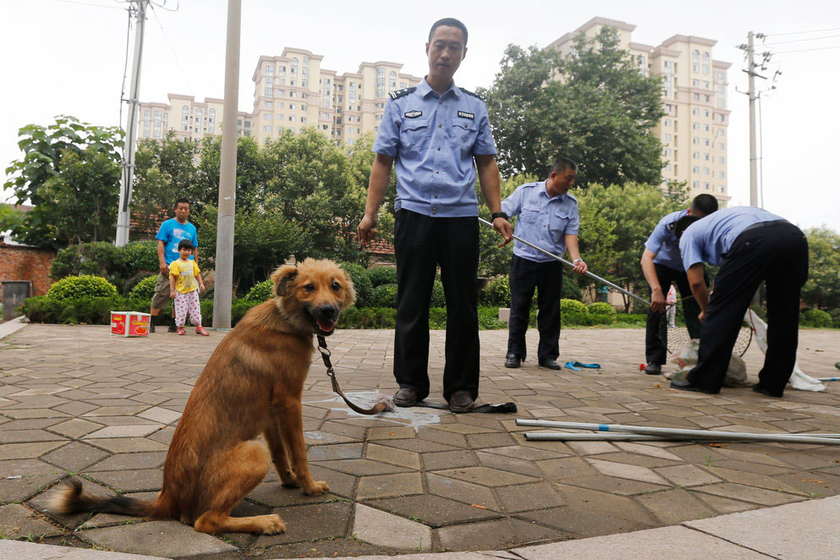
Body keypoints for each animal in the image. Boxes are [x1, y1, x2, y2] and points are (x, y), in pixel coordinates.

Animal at [48, 260, 358, 536]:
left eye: (335, 286)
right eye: (308, 287)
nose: (329, 311)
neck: (285, 319)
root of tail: (167, 498)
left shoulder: (271, 410)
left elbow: (281, 454)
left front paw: (290, 481)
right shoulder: (290, 401)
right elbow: (299, 452)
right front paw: (310, 487)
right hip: (253, 453)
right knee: (206, 521)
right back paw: (265, 522)